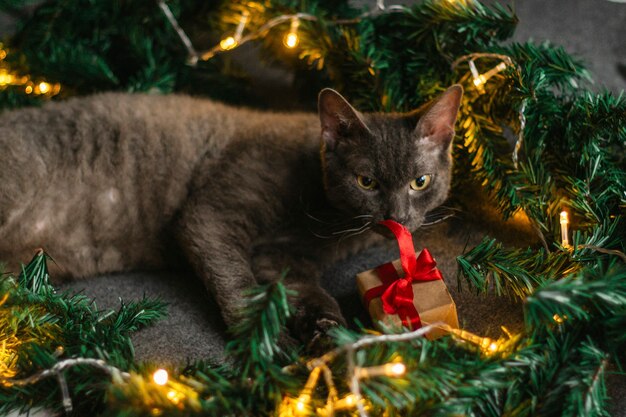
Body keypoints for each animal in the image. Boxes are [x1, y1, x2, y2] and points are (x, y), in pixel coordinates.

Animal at [0, 83, 458, 342]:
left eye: (420, 182)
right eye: (366, 182)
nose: (397, 216)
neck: (326, 220)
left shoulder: (284, 259)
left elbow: (307, 292)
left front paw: (330, 336)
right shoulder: (211, 215)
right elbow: (237, 282)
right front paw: (266, 348)